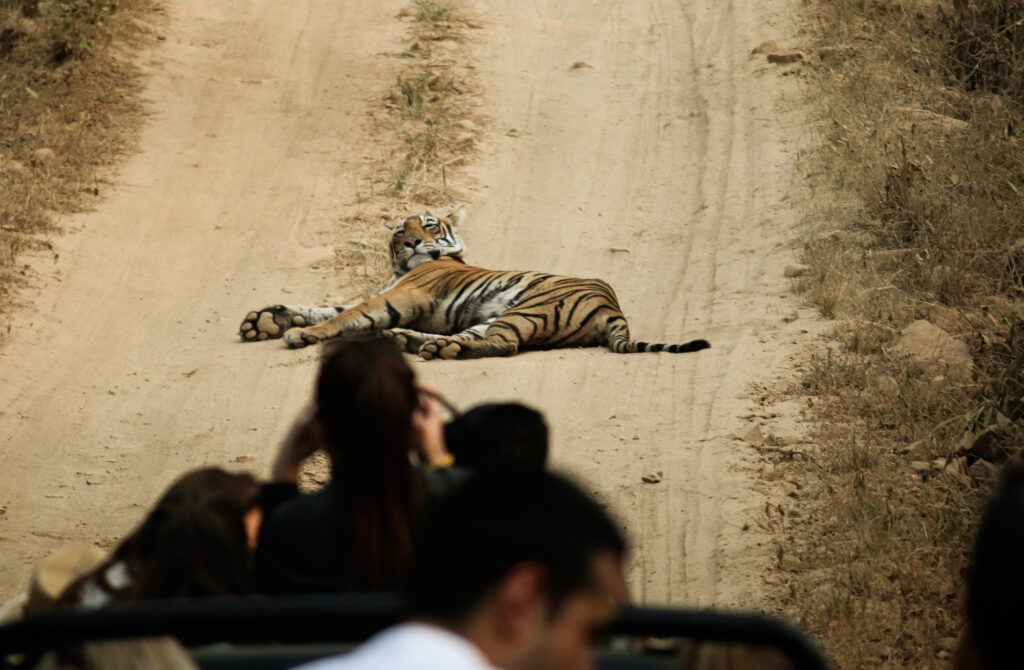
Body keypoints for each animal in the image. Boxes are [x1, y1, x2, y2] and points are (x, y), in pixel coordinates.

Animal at [239, 206, 708, 360]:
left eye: (427, 225)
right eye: (400, 230)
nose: (412, 241)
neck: (402, 271)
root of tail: (615, 308)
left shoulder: (401, 295)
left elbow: (345, 314)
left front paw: (298, 334)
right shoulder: (389, 295)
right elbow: (328, 307)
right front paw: (267, 320)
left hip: (524, 311)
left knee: (506, 345)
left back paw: (429, 348)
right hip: (494, 317)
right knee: (471, 339)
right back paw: (415, 343)